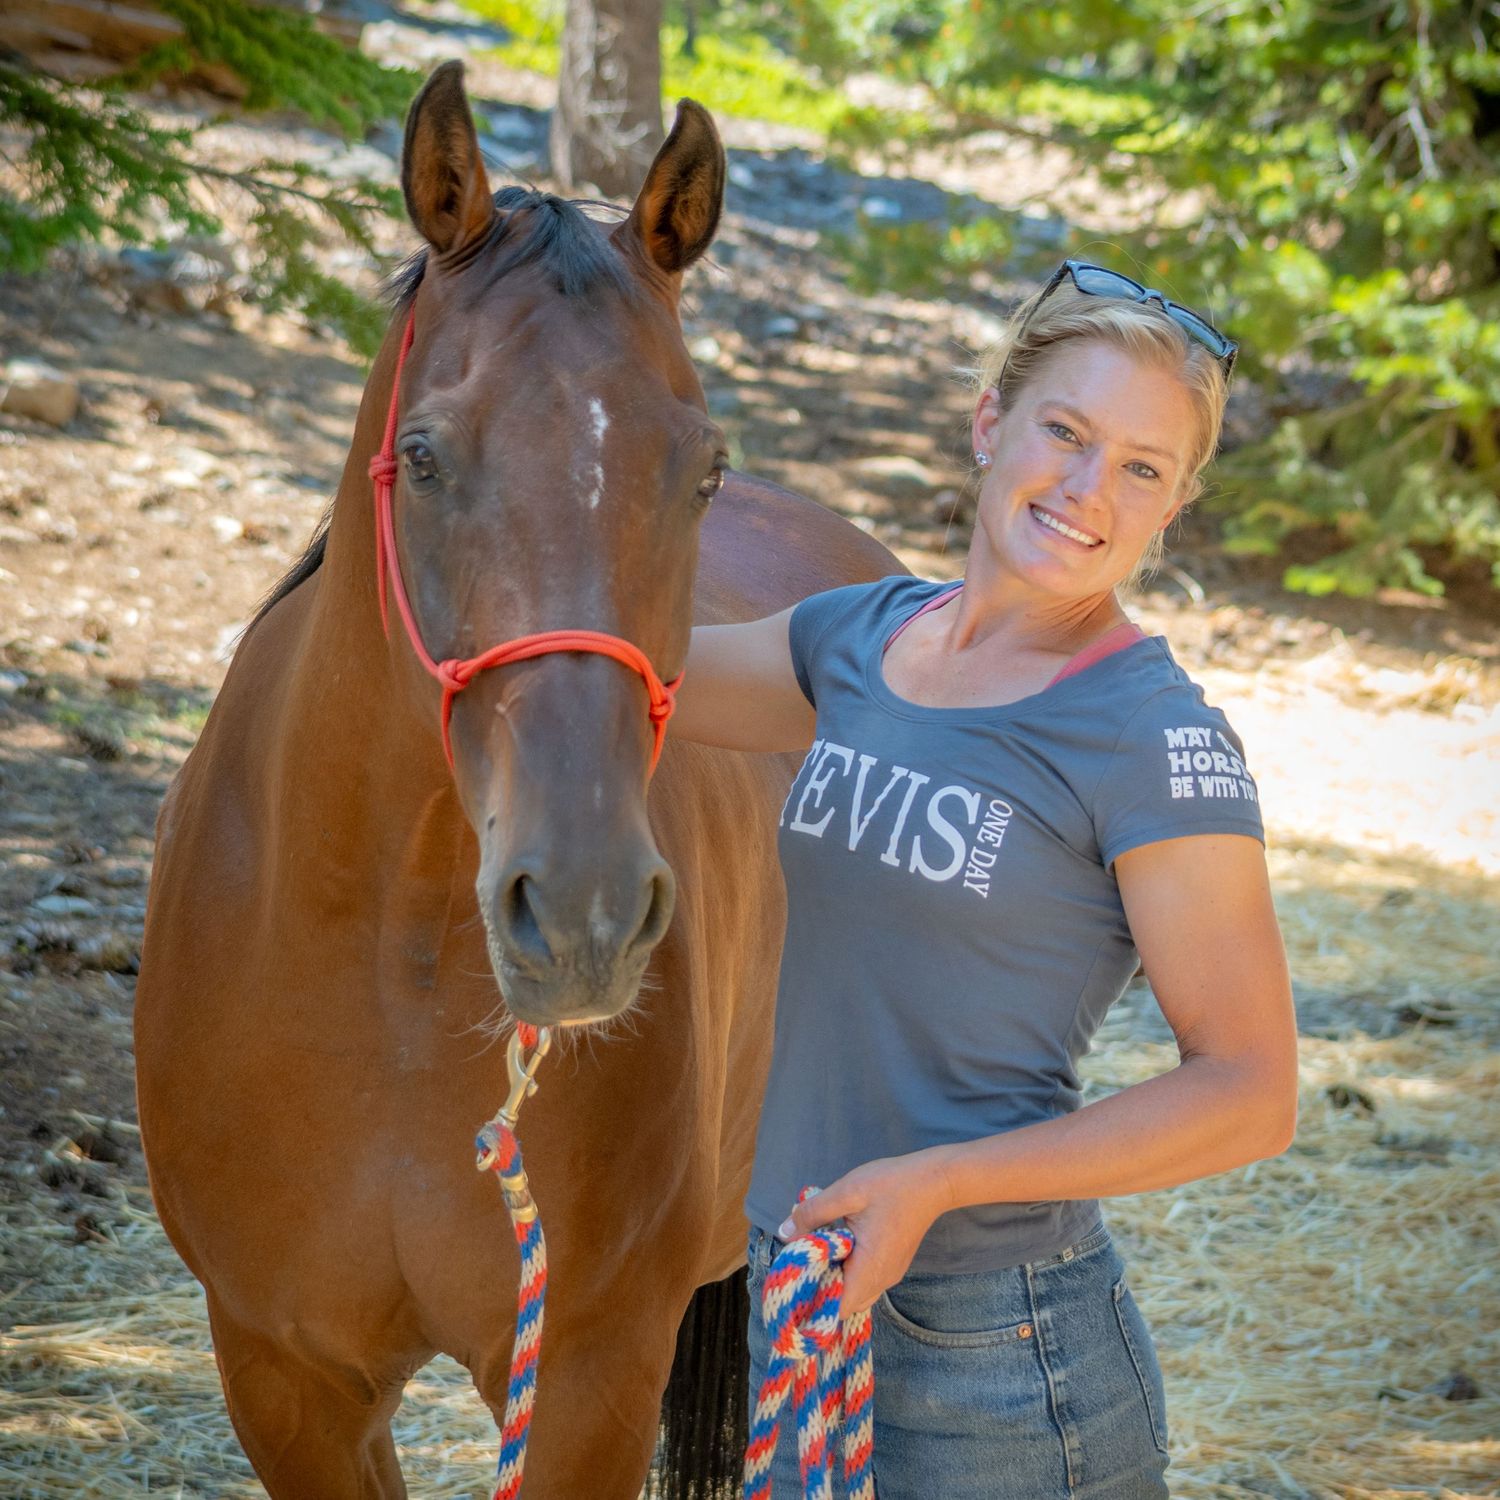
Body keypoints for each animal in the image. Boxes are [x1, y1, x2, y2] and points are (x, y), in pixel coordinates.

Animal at [135, 61, 899, 1498]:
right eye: (428, 456)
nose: (586, 911)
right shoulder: (285, 1373)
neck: (391, 964)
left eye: (702, 468)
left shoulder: (586, 1379)